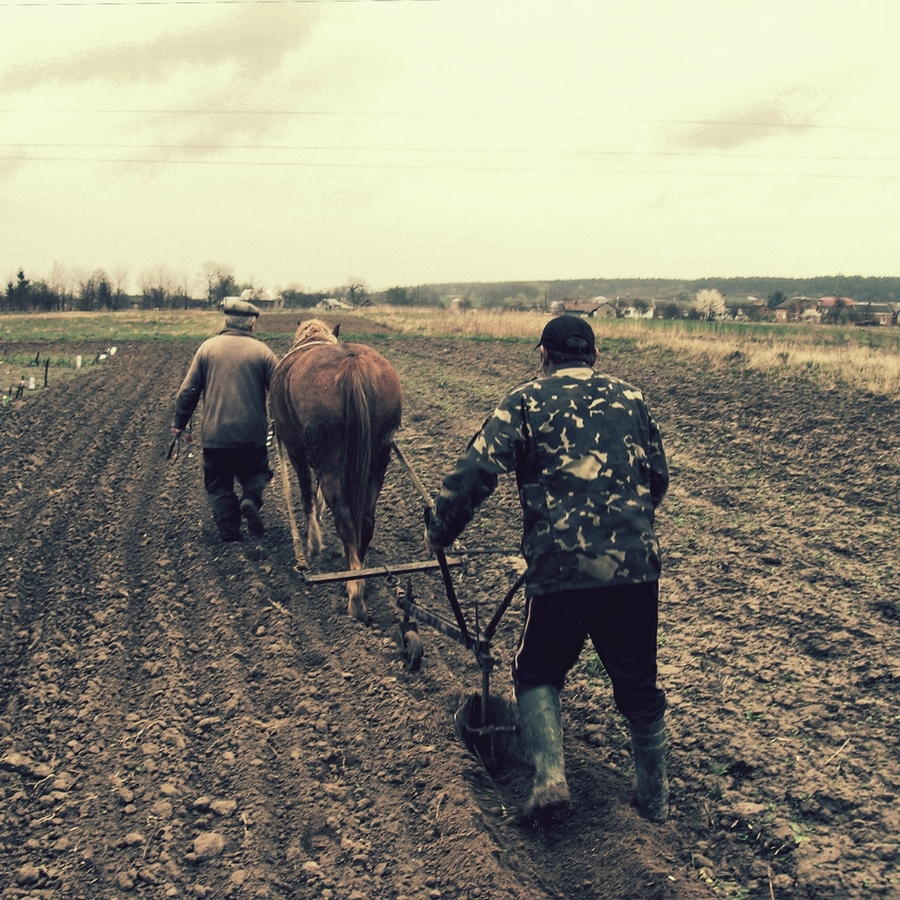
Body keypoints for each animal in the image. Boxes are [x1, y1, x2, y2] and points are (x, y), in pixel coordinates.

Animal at [268, 320, 402, 624]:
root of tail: (353, 365)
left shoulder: (296, 449)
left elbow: (307, 492)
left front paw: (313, 543)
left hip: (324, 451)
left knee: (343, 515)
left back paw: (354, 594)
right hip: (379, 454)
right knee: (365, 519)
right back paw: (359, 573)